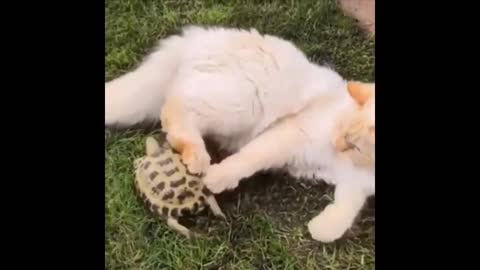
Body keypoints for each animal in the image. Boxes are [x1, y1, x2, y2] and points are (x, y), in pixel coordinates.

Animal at [106, 25, 376, 243]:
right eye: (344, 133)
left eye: (354, 145)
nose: (337, 143)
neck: (360, 164)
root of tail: (198, 36)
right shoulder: (292, 132)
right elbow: (249, 159)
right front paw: (216, 178)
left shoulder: (356, 185)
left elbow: (345, 211)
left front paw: (321, 229)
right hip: (240, 106)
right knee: (175, 110)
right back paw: (198, 160)